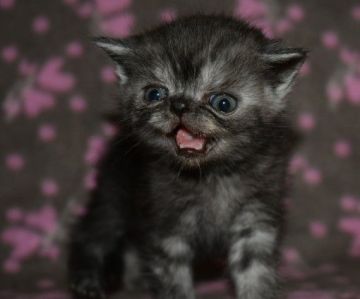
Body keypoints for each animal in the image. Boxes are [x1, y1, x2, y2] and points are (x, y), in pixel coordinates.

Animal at [67, 14, 304, 299]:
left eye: (223, 103)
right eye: (154, 94)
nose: (179, 104)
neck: (213, 175)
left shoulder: (256, 215)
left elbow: (254, 268)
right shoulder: (165, 224)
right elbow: (172, 277)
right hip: (112, 192)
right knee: (94, 232)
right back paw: (87, 281)